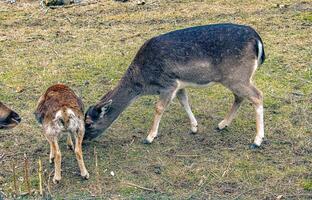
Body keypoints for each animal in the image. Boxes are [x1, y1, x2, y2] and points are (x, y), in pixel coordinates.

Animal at [84, 23, 266, 148]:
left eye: (89, 123)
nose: (84, 140)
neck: (144, 82)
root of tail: (257, 39)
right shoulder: (179, 84)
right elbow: (184, 101)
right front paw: (194, 127)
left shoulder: (168, 83)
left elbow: (158, 108)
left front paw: (149, 137)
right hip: (237, 78)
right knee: (240, 97)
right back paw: (222, 124)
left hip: (237, 76)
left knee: (257, 95)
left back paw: (257, 140)